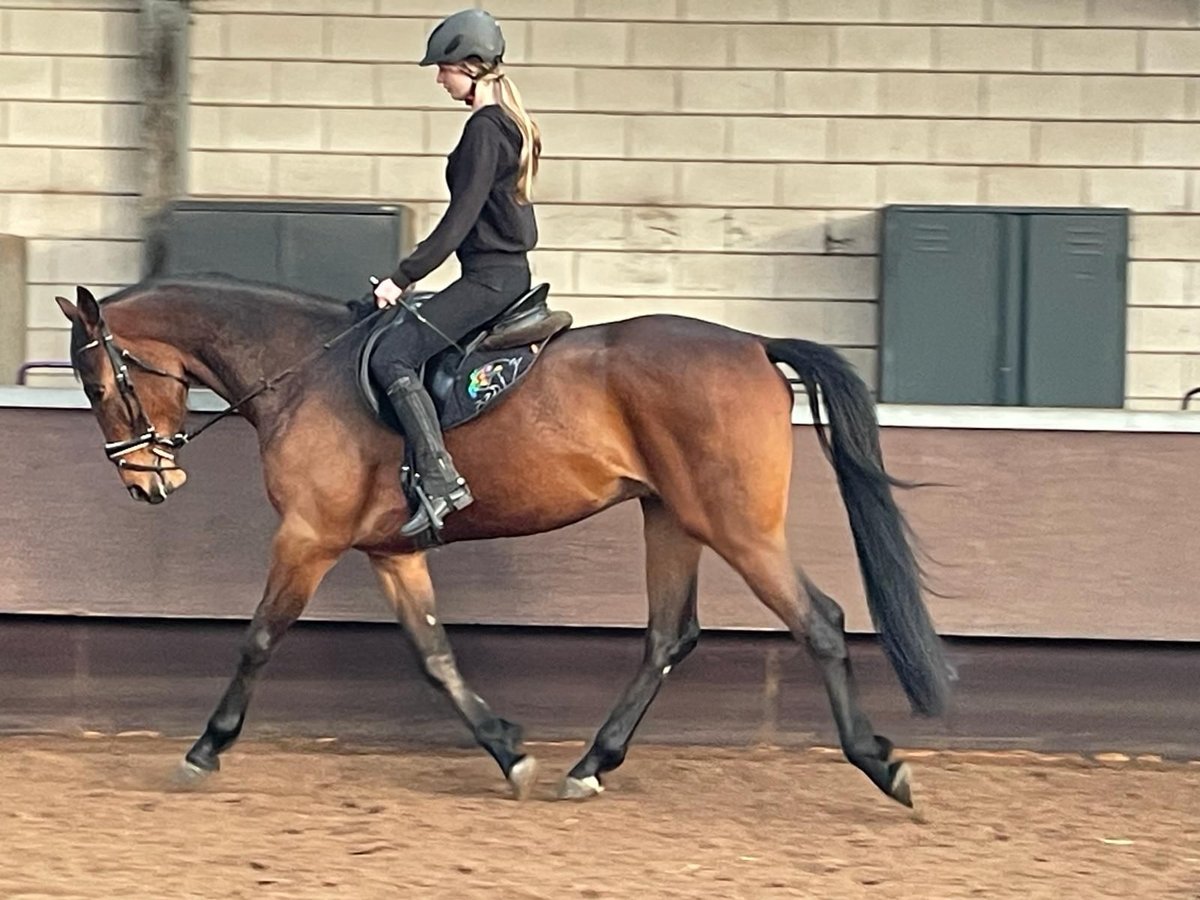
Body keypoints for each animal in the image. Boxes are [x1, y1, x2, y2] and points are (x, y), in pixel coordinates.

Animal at [56, 278, 950, 806]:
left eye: (99, 385)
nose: (145, 484)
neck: (302, 370)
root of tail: (752, 346)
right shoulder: (392, 551)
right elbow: (435, 657)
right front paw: (507, 749)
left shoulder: (309, 537)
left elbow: (259, 639)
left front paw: (205, 748)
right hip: (671, 518)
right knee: (669, 636)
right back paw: (590, 765)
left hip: (735, 524)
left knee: (819, 622)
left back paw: (881, 763)